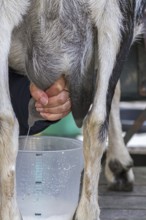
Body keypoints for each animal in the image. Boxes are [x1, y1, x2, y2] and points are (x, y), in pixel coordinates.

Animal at [0, 0, 146, 220]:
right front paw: (119, 164)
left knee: (6, 121)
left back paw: (10, 213)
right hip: (117, 18)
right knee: (96, 122)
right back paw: (88, 212)